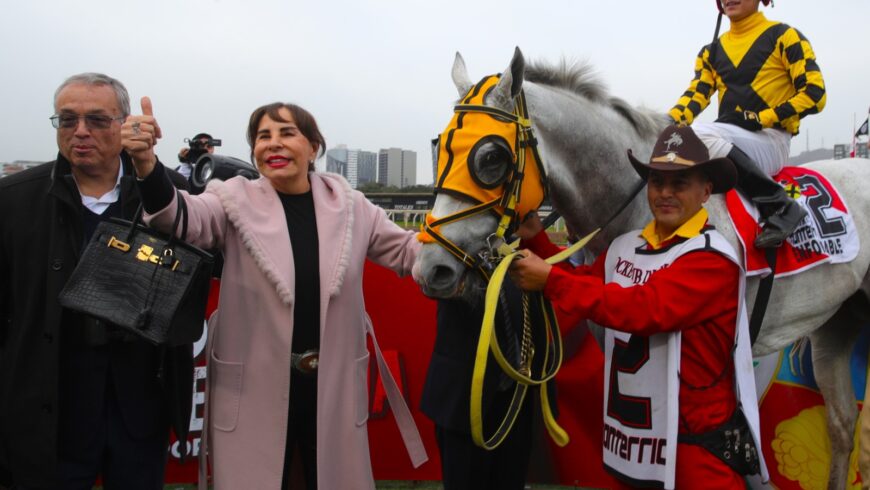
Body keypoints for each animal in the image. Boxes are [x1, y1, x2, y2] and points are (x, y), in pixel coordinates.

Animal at [416, 47, 870, 490]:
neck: (644, 208)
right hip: (837, 322)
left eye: (491, 156)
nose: (429, 268)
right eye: (440, 146)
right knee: (842, 424)